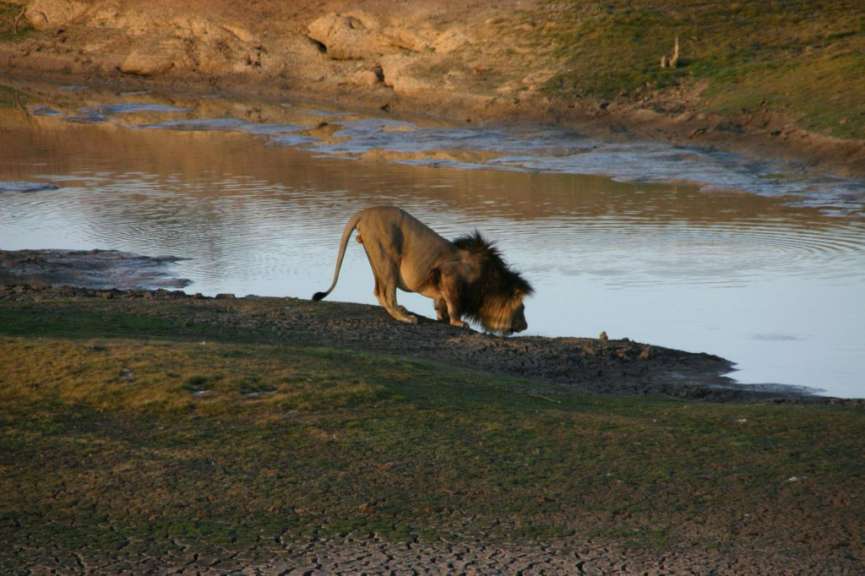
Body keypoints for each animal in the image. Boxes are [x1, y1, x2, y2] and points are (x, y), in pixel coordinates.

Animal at [312, 206, 532, 334]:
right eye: (522, 308)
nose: (525, 326)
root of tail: (363, 213)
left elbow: (442, 303)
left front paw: (443, 317)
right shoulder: (450, 274)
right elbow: (454, 303)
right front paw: (458, 322)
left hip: (376, 257)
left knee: (378, 292)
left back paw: (402, 311)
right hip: (388, 257)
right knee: (387, 294)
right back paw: (405, 317)